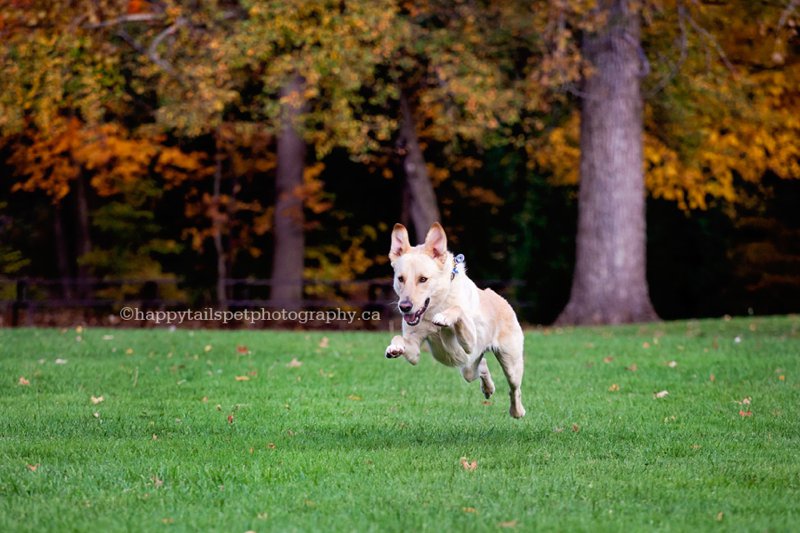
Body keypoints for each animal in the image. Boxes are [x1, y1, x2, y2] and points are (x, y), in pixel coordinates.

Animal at [386, 222, 528, 418]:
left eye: (423, 279)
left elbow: (458, 309)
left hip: (510, 362)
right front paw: (394, 347)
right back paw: (488, 388)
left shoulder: (469, 343)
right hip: (468, 367)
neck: (436, 305)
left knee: (514, 388)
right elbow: (400, 339)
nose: (404, 307)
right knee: (481, 366)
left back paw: (517, 411)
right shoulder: (414, 351)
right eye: (400, 279)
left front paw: (444, 317)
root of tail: (503, 301)